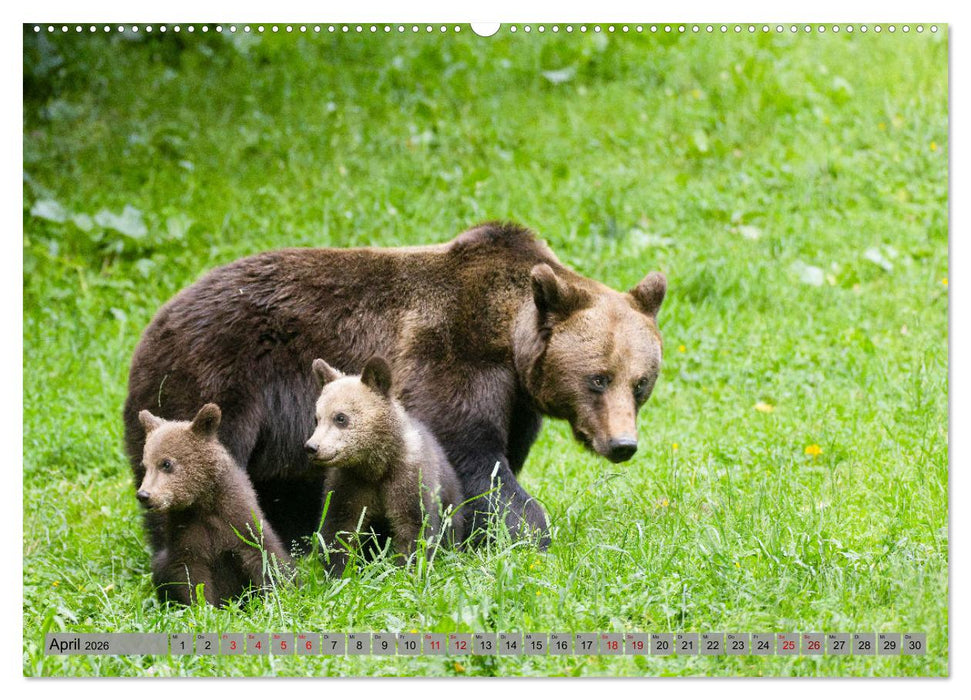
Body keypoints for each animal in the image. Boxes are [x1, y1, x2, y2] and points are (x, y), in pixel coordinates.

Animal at [123, 221, 666, 552]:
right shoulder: (448, 349)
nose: (622, 444)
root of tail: (154, 321)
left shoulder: (517, 402)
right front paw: (527, 533)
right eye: (598, 378)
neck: (508, 341)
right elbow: (468, 453)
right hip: (213, 381)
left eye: (640, 383)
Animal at [136, 403, 295, 606]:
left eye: (166, 463)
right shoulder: (186, 534)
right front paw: (203, 606)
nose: (144, 495)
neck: (203, 504)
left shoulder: (239, 523)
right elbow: (191, 576)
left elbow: (266, 561)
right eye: (144, 465)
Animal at [304, 355, 465, 576]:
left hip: (450, 500)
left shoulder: (408, 480)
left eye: (340, 417)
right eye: (317, 418)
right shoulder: (350, 485)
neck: (376, 465)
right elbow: (340, 530)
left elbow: (414, 530)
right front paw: (340, 572)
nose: (312, 447)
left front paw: (407, 570)